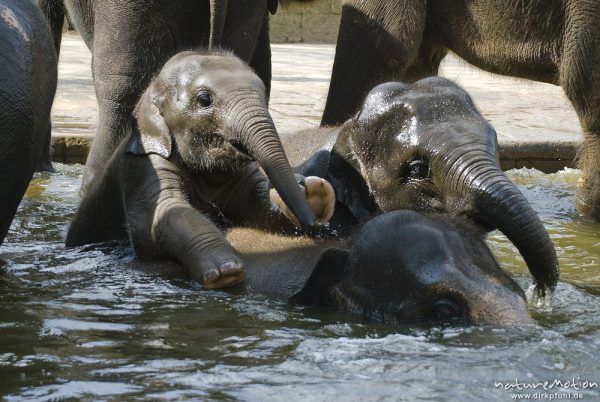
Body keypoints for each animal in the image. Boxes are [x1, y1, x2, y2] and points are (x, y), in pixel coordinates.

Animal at [67, 51, 338, 288]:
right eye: (205, 100)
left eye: (264, 95)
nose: (313, 225)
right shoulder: (143, 167)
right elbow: (162, 215)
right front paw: (226, 272)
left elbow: (256, 210)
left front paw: (315, 191)